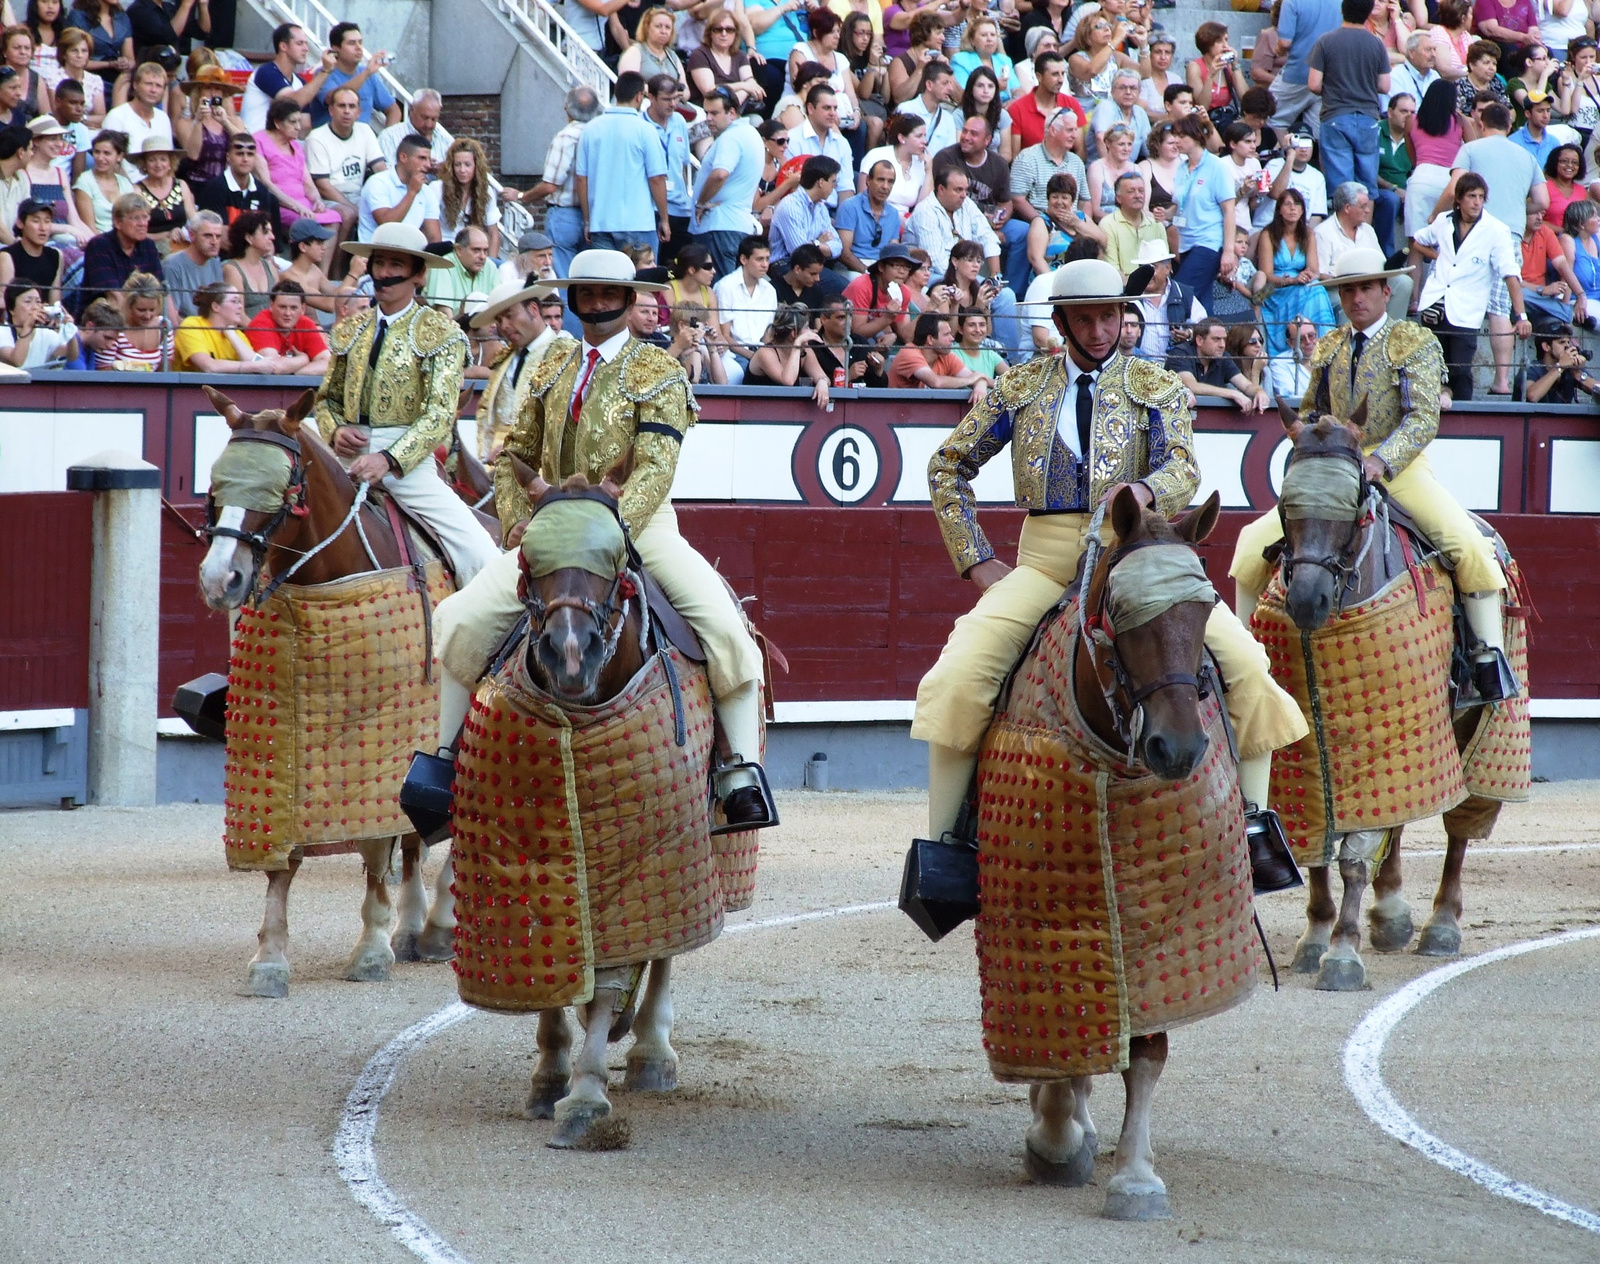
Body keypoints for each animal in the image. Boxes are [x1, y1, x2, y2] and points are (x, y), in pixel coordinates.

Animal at [194, 385, 467, 998]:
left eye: (285, 487)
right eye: (215, 485)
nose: (220, 580)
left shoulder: (381, 743)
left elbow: (372, 844)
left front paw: (370, 950)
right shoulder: (279, 747)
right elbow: (285, 853)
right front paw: (269, 958)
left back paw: (437, 926)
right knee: (415, 838)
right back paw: (413, 928)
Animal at [966, 486, 1241, 1228]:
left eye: (1206, 607)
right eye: (1119, 611)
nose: (1177, 749)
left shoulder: (1165, 929)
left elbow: (1147, 1048)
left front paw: (1136, 1176)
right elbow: (1061, 1024)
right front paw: (1056, 1137)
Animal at [1254, 403, 1529, 992]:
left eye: (1356, 506)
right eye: (1285, 505)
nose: (1306, 600)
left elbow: (1354, 856)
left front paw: (1341, 955)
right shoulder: (1313, 751)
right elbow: (1317, 847)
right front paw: (1316, 939)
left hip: (1465, 723)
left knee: (1458, 825)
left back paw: (1440, 926)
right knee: (1401, 818)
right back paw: (1391, 916)